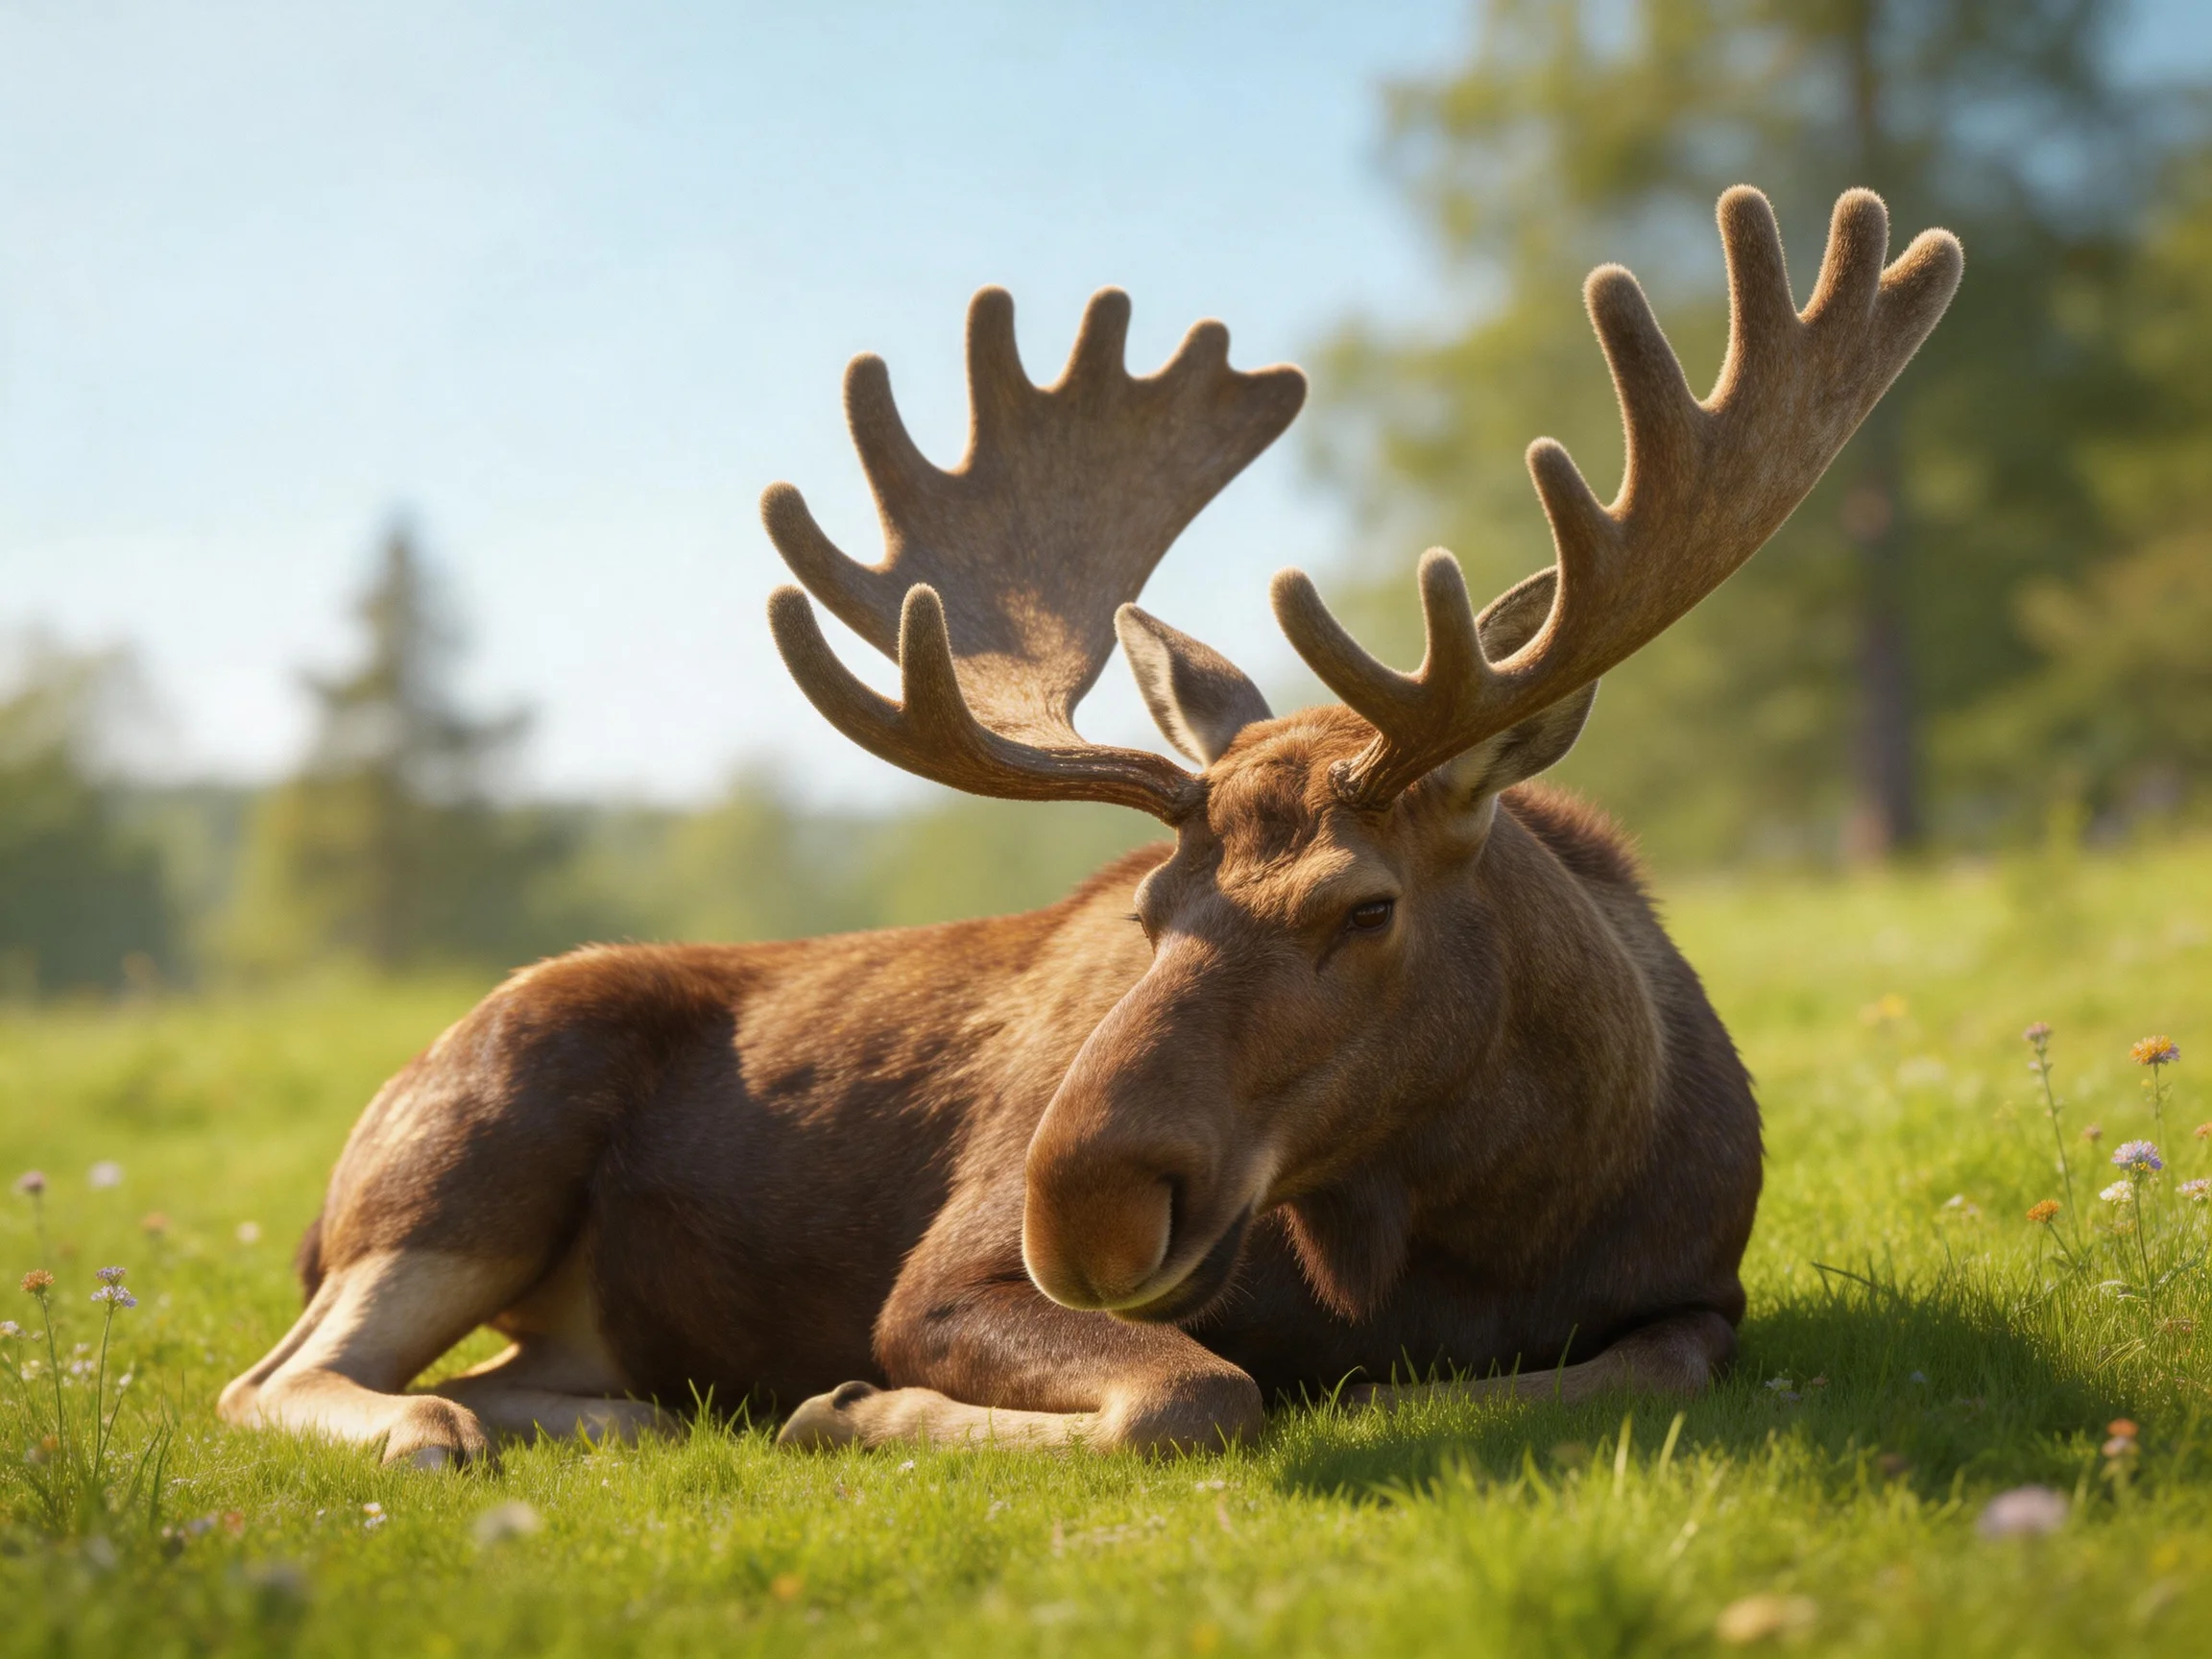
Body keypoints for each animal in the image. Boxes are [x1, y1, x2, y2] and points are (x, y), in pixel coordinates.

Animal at [218, 187, 1959, 1465]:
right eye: (1144, 911)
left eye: (1364, 904)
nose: (1075, 1202)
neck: (1491, 1216)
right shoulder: (938, 1274)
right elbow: (1194, 1388)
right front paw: (855, 1404)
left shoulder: (1704, 1282)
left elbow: (1639, 1364)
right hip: (456, 1158)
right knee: (279, 1374)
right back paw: (452, 1428)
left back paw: (623, 1415)